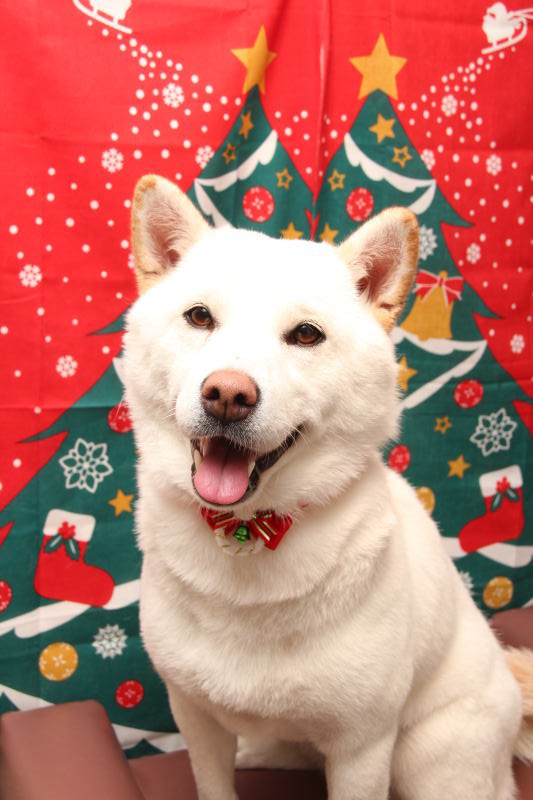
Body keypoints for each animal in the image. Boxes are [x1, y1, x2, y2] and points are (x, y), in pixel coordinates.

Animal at [123, 174, 532, 800]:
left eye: (305, 335)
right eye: (199, 318)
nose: (227, 394)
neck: (247, 538)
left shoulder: (363, 747)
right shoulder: (195, 718)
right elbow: (213, 780)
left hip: (431, 757)